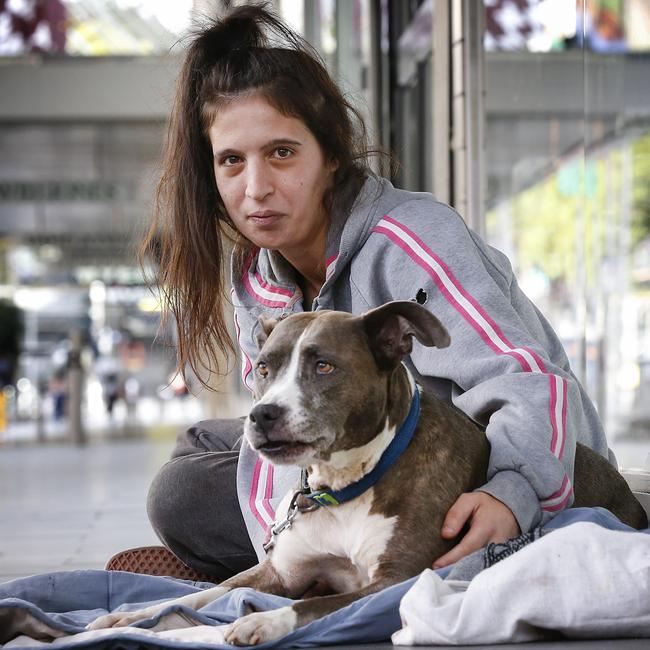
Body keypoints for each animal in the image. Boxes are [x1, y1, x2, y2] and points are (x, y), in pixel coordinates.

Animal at [88, 300, 644, 644]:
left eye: (324, 366)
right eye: (265, 368)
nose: (261, 415)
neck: (345, 485)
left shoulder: (392, 582)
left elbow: (317, 608)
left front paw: (264, 622)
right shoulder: (280, 572)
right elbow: (207, 592)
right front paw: (128, 617)